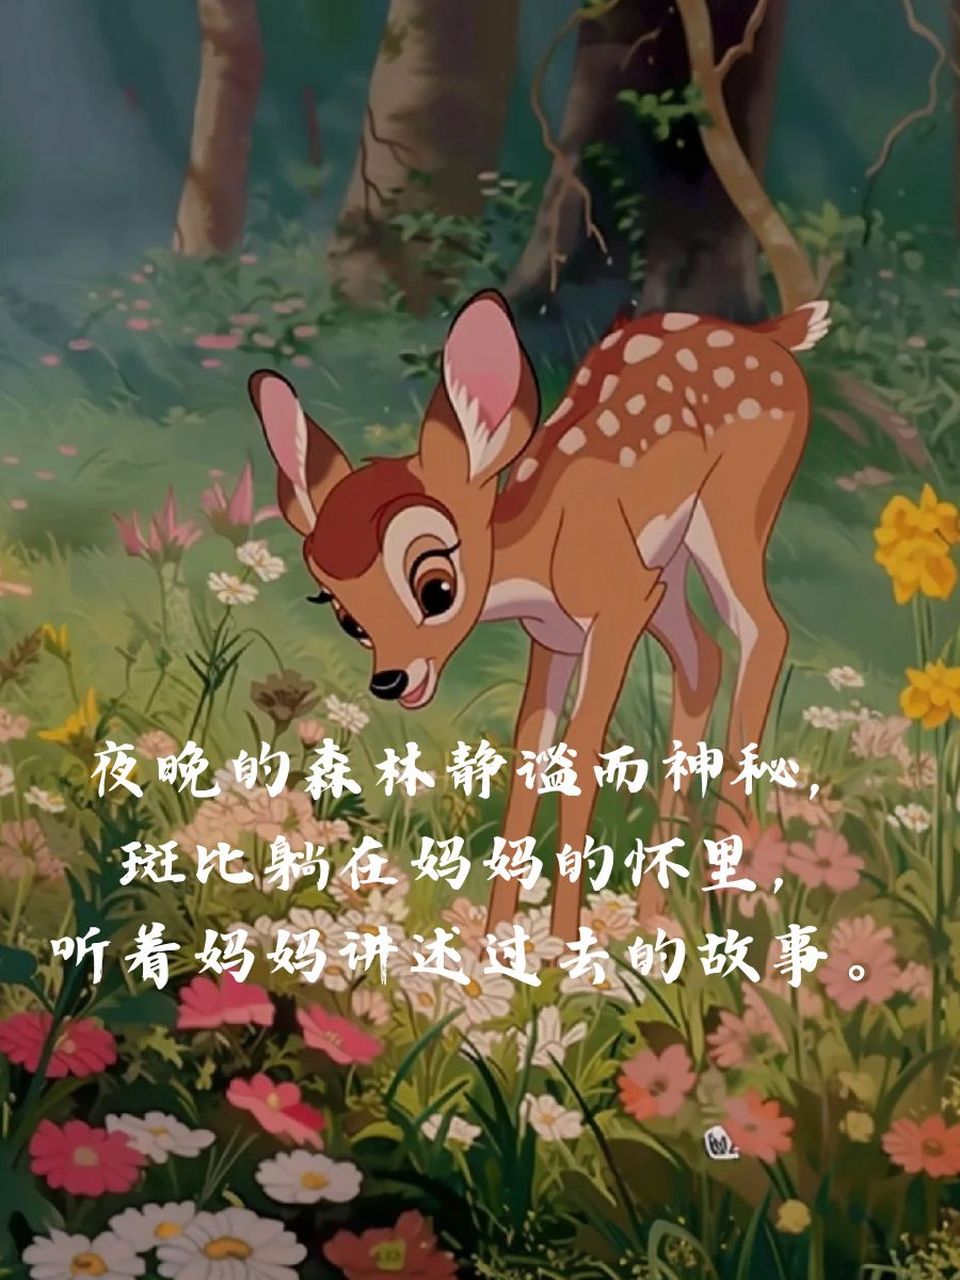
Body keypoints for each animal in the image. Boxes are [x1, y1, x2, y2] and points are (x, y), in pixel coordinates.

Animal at [248, 288, 830, 943]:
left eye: (436, 588)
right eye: (346, 616)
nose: (391, 680)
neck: (542, 552)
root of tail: (773, 337)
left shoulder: (619, 604)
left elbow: (578, 760)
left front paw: (565, 943)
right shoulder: (555, 635)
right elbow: (530, 761)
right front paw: (495, 941)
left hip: (736, 506)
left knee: (765, 631)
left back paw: (728, 899)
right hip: (669, 561)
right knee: (704, 656)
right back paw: (659, 918)